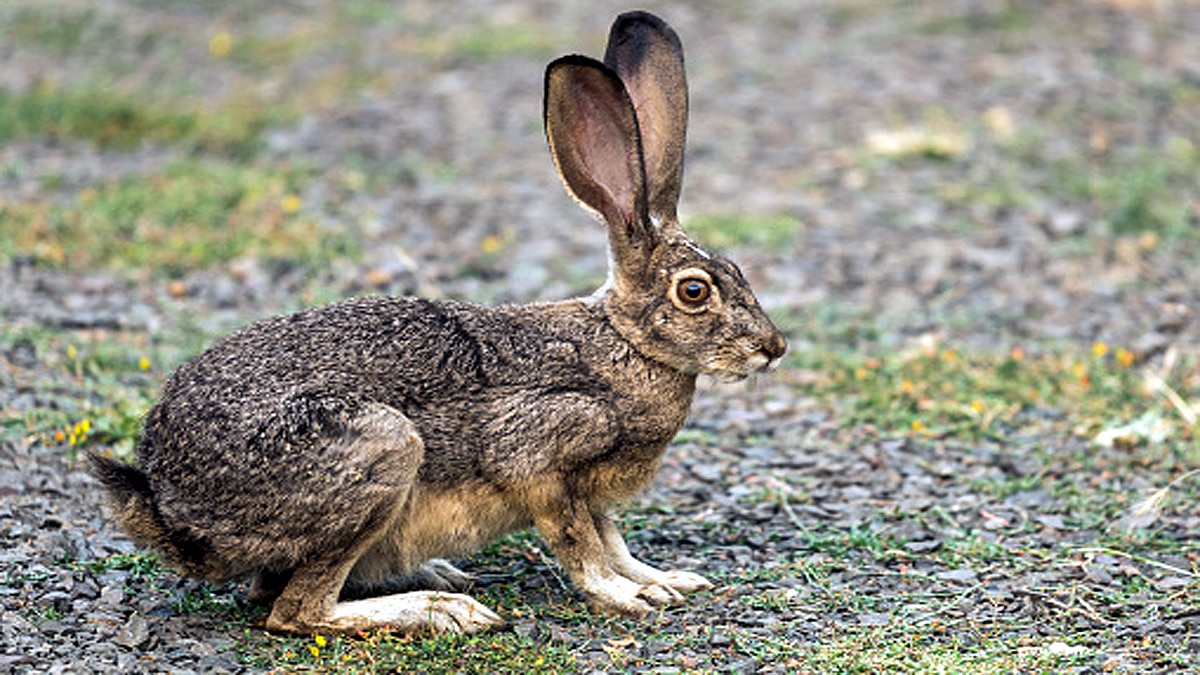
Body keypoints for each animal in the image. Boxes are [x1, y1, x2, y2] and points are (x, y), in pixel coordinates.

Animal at [88, 10, 787, 636]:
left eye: (737, 269)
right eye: (695, 291)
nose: (773, 348)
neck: (625, 344)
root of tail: (171, 505)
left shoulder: (592, 494)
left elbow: (612, 539)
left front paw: (665, 581)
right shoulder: (543, 455)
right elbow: (580, 546)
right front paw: (627, 597)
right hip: (382, 448)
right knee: (294, 612)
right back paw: (441, 610)